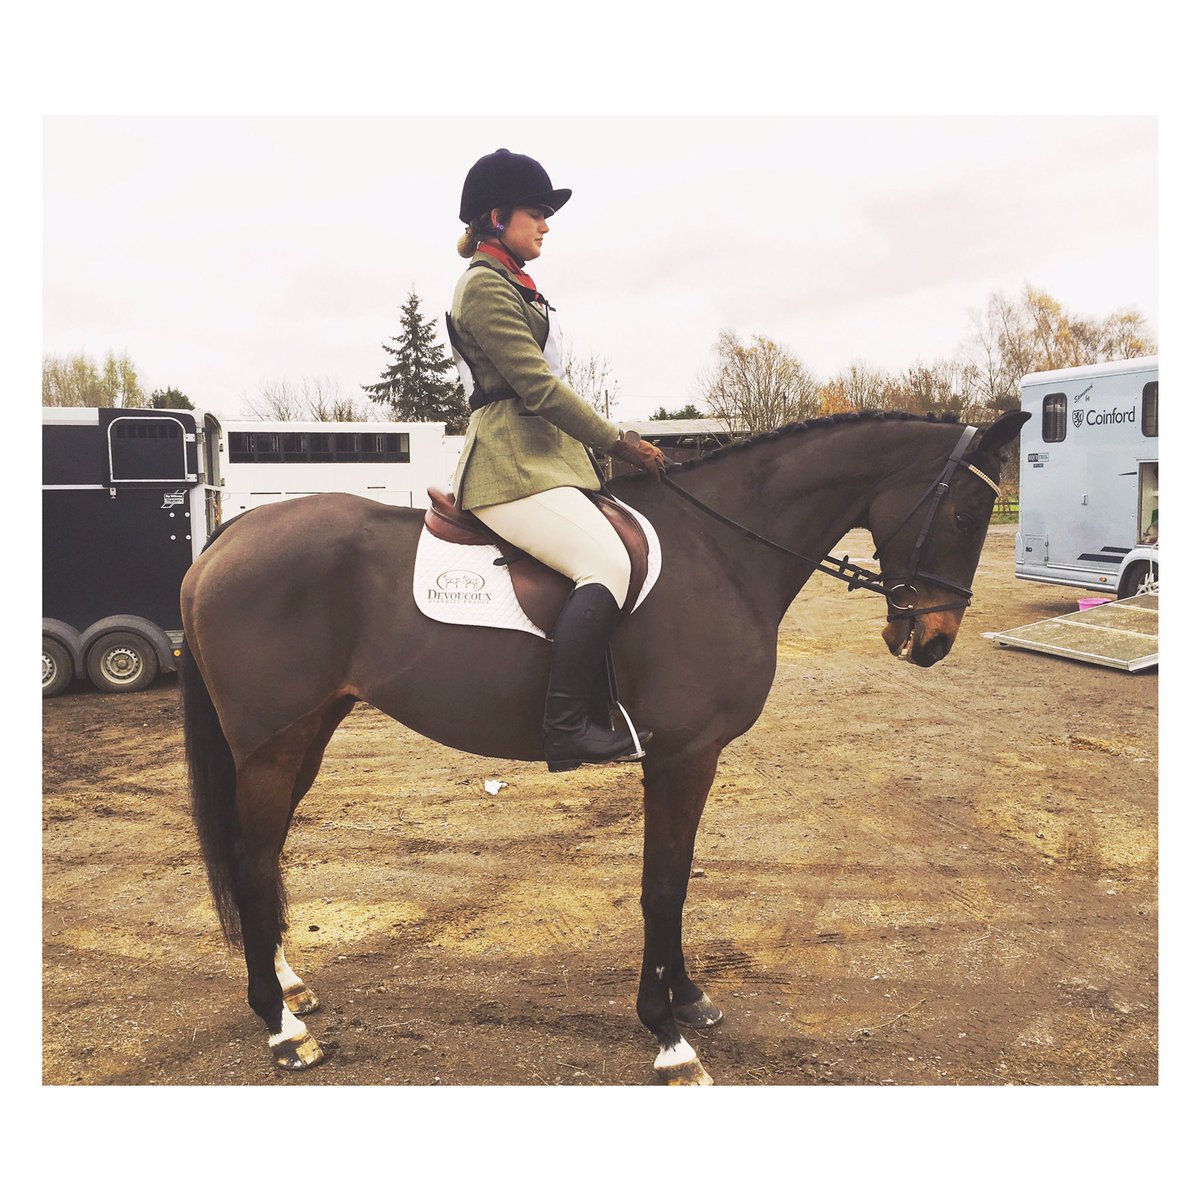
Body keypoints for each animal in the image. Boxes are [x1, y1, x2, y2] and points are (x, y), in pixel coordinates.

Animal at [180, 407, 1029, 1084]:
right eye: (964, 516)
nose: (931, 642)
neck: (718, 550)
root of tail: (228, 538)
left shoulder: (692, 759)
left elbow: (677, 879)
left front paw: (688, 998)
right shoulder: (683, 756)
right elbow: (662, 887)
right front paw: (668, 1035)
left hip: (303, 736)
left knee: (264, 858)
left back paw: (290, 988)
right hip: (271, 748)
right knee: (253, 863)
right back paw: (282, 1029)